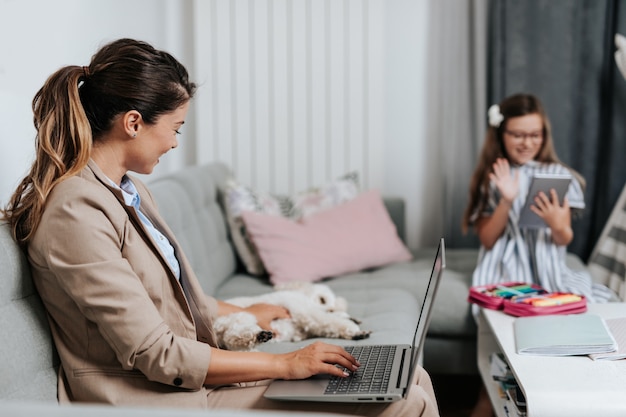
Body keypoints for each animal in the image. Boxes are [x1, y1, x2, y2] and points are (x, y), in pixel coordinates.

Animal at [214, 282, 370, 350]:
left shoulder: (310, 328)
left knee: (233, 338)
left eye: (333, 305)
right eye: (322, 299)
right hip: (240, 316)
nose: (331, 309)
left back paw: (260, 336)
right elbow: (332, 321)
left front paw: (350, 318)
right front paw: (355, 331)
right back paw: (259, 335)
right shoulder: (307, 313)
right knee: (234, 334)